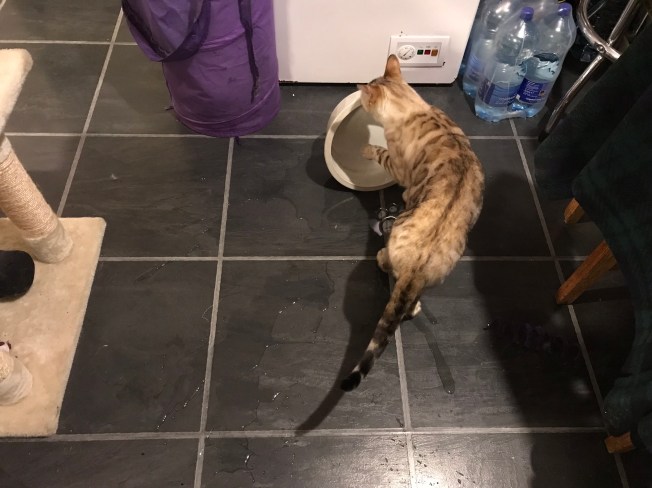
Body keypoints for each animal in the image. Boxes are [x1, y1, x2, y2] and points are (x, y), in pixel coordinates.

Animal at [341, 55, 485, 391]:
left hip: (395, 238)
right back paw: (414, 305)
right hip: (438, 273)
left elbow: (381, 155)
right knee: (411, 304)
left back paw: (380, 256)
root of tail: (419, 263)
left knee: (387, 265)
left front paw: (368, 150)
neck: (416, 108)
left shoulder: (398, 166)